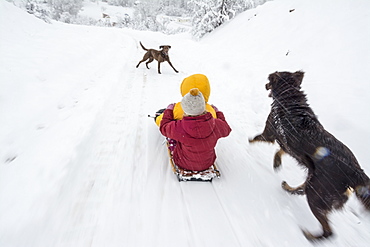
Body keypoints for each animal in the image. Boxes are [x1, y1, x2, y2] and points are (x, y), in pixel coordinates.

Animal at [250, 70, 368, 240]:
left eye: (270, 79)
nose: (266, 83)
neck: (290, 101)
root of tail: (356, 172)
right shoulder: (290, 146)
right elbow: (281, 151)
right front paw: (277, 162)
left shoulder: (269, 133)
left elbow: (256, 139)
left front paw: (247, 140)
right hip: (315, 181)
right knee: (302, 190)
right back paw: (288, 188)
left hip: (317, 192)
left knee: (329, 231)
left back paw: (310, 236)